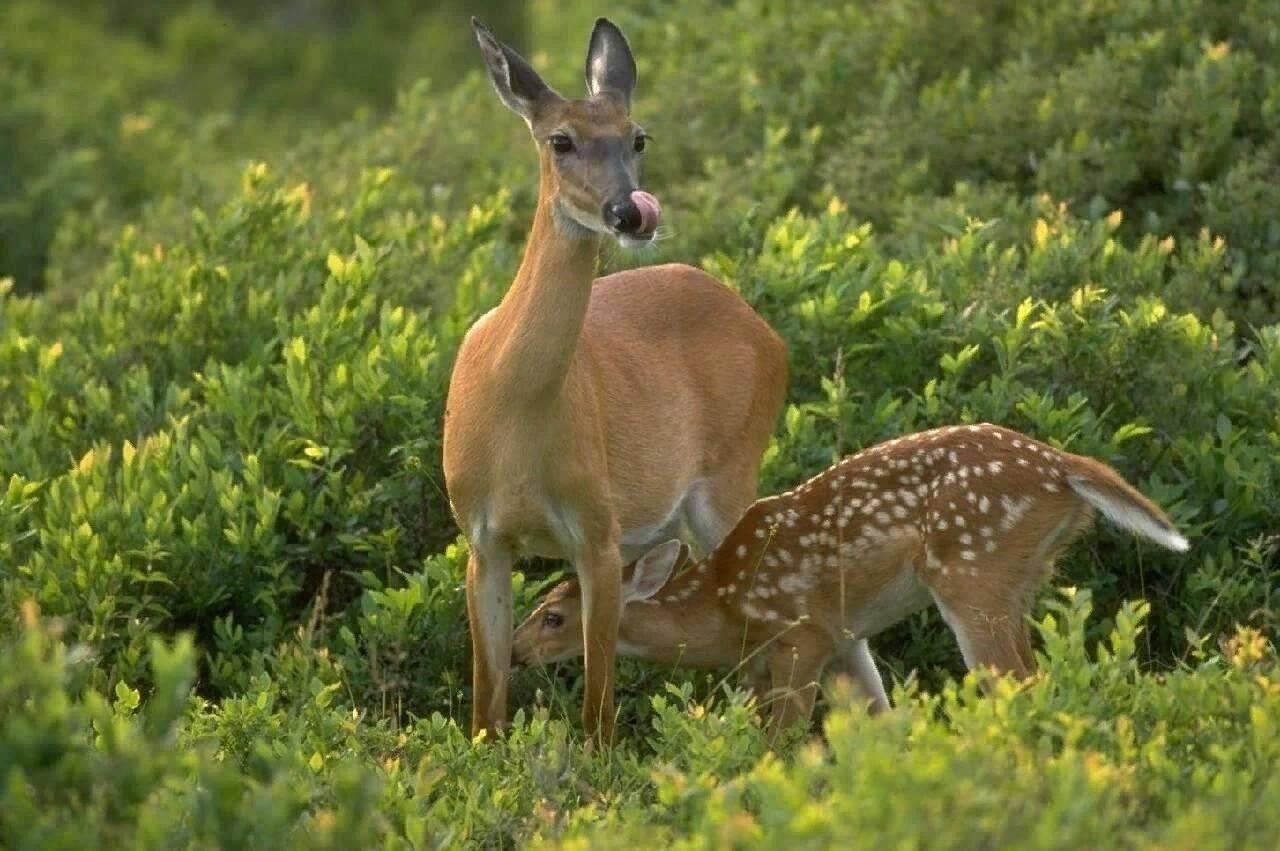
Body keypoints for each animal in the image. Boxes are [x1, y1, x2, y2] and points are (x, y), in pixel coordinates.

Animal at [445, 14, 793, 742]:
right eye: (560, 139)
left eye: (637, 136)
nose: (632, 212)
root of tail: (762, 326)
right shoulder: (482, 537)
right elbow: (486, 707)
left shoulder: (598, 529)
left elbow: (598, 711)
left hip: (729, 476)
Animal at [512, 422, 1187, 742]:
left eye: (553, 616)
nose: (514, 650)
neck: (723, 608)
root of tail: (1063, 466)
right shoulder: (846, 639)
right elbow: (881, 721)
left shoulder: (801, 633)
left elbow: (780, 738)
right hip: (1018, 574)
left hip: (975, 573)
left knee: (1017, 681)